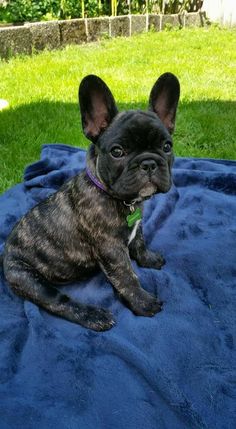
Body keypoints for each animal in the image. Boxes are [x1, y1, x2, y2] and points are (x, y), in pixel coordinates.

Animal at [2, 72, 180, 332]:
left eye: (167, 146)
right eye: (117, 152)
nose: (148, 163)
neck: (120, 199)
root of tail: (5, 254)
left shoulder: (136, 225)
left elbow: (139, 240)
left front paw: (148, 258)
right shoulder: (111, 249)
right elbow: (127, 276)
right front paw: (143, 302)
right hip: (27, 277)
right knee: (58, 303)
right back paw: (94, 316)